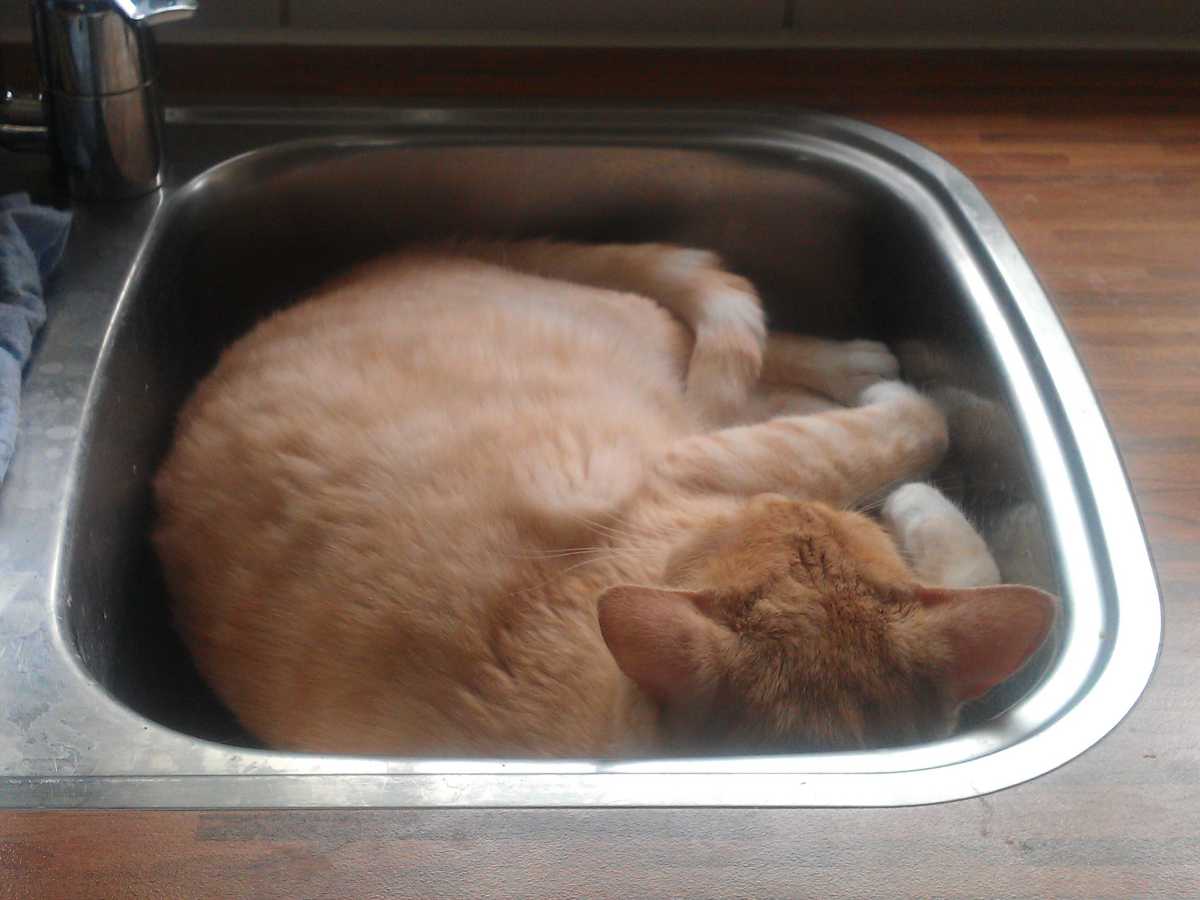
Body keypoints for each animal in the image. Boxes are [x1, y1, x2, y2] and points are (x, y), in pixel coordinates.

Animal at [152, 240, 1057, 757]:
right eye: (795, 530)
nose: (786, 509)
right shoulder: (703, 461)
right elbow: (915, 439)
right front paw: (914, 490)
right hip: (661, 364)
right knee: (740, 355)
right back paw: (860, 365)